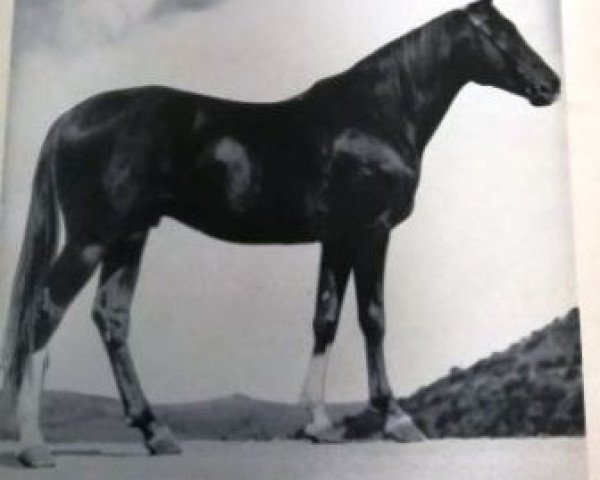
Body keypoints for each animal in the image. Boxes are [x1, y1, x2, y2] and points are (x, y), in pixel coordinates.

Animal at [2, 0, 560, 464]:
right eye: (498, 34)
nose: (551, 85)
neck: (375, 115)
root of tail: (69, 117)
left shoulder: (338, 239)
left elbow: (325, 319)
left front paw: (318, 424)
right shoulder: (370, 232)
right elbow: (373, 319)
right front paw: (397, 419)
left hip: (128, 237)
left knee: (111, 319)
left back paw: (155, 431)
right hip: (92, 238)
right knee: (45, 310)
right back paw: (35, 445)